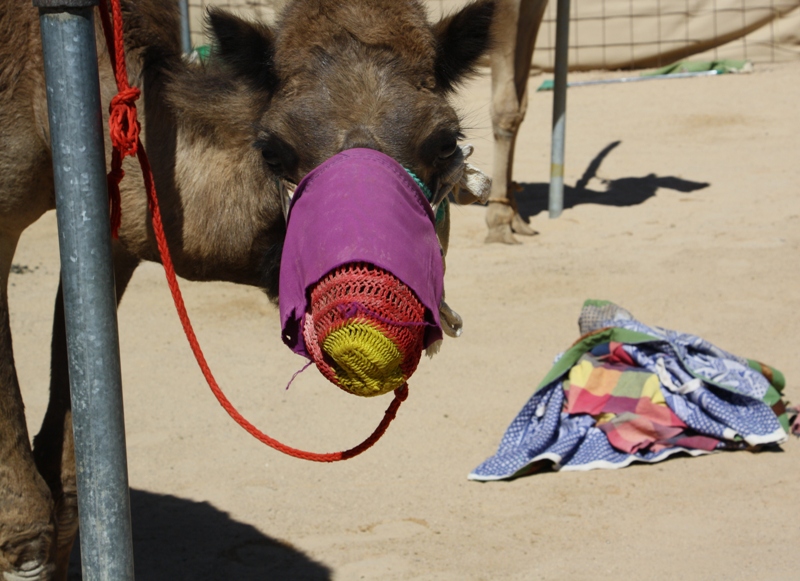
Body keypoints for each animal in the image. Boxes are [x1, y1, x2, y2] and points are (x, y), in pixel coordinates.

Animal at [0, 2, 496, 576]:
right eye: (273, 150)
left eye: (444, 142)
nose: (365, 308)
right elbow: (27, 528)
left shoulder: (111, 217)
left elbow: (70, 479)